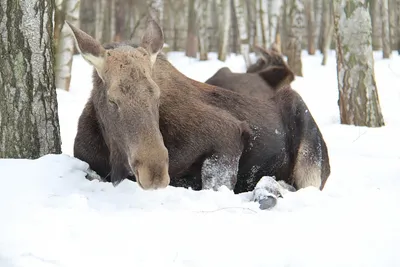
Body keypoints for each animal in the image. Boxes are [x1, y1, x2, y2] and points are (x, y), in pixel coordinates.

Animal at [67, 19, 332, 211]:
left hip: (309, 152)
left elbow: (214, 186)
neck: (112, 153)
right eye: (112, 100)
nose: (155, 172)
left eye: (157, 95)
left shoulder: (229, 133)